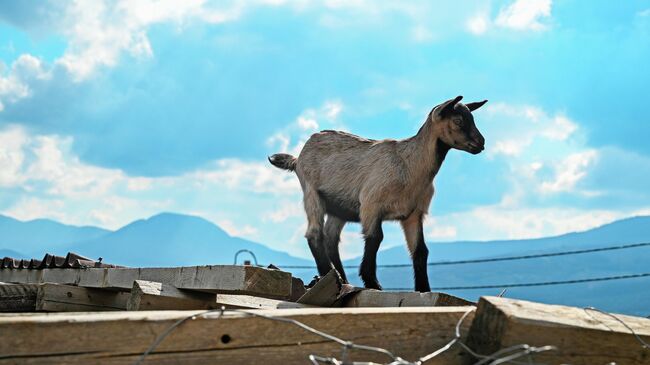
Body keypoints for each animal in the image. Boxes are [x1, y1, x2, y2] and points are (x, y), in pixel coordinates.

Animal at [266, 96, 484, 290]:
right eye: (458, 120)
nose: (480, 143)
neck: (410, 165)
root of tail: (297, 159)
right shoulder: (371, 205)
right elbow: (375, 238)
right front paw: (372, 282)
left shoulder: (413, 214)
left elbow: (420, 250)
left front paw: (424, 289)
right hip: (312, 193)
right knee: (314, 234)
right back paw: (332, 276)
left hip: (339, 208)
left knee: (330, 238)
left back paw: (342, 279)